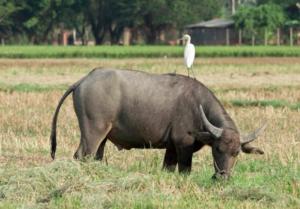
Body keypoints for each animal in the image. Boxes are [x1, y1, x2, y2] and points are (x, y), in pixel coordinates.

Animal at [49, 68, 268, 179]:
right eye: (216, 149)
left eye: (236, 153)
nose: (222, 177)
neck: (198, 107)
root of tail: (85, 78)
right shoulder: (183, 147)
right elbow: (185, 171)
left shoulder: (171, 149)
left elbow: (168, 168)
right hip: (92, 133)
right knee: (81, 156)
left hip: (103, 137)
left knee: (97, 157)